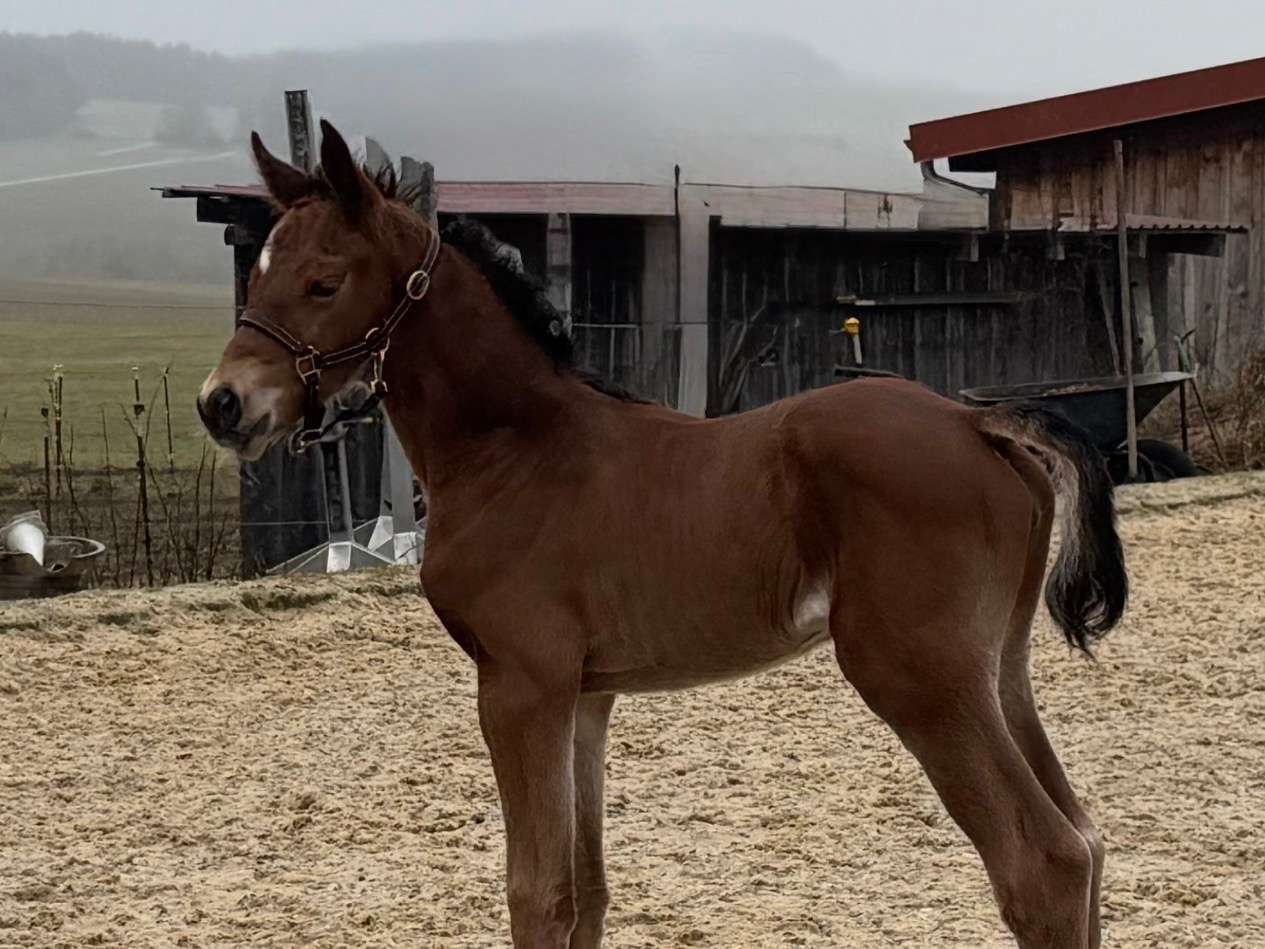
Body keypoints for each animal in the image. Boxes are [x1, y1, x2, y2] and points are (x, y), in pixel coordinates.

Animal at [197, 120, 1128, 949]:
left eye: (324, 282)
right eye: (261, 271)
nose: (223, 403)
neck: (516, 449)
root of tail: (978, 423)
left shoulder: (518, 684)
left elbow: (534, 894)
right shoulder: (584, 695)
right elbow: (585, 892)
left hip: (916, 673)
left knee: (1041, 861)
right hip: (996, 668)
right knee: (1085, 840)